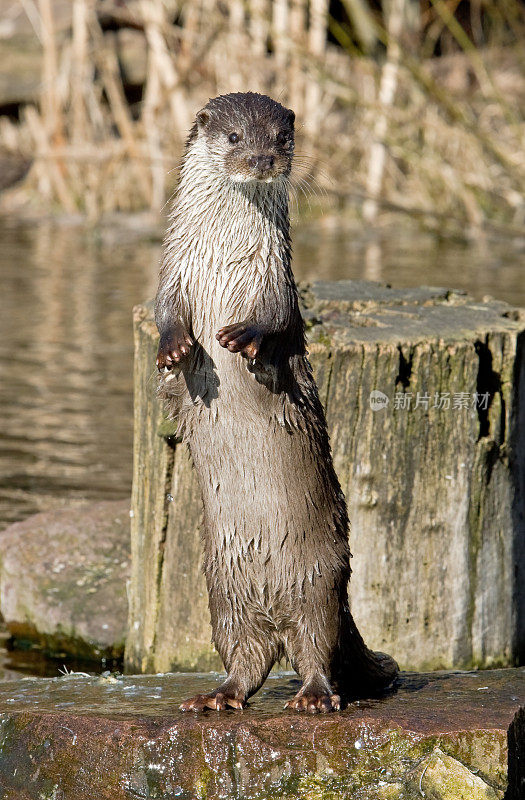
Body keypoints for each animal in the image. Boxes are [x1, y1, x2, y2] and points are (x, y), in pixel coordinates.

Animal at [156, 94, 398, 712]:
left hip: (320, 578)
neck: (220, 261)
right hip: (222, 593)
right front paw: (175, 348)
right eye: (235, 137)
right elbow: (166, 316)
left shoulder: (276, 281)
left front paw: (244, 337)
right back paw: (217, 696)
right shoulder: (172, 275)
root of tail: (271, 600)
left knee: (315, 647)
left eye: (281, 138)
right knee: (246, 657)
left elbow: (279, 321)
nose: (264, 160)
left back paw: (312, 697)